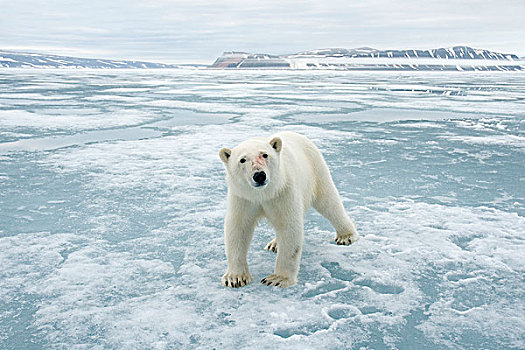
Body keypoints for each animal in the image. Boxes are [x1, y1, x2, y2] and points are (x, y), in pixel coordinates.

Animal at [219, 130, 358, 288]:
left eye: (265, 155)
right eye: (242, 160)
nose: (259, 175)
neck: (264, 193)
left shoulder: (283, 190)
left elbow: (288, 227)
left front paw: (277, 278)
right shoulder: (243, 197)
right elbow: (238, 228)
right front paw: (235, 278)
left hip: (316, 168)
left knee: (329, 202)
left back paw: (346, 236)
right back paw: (274, 244)